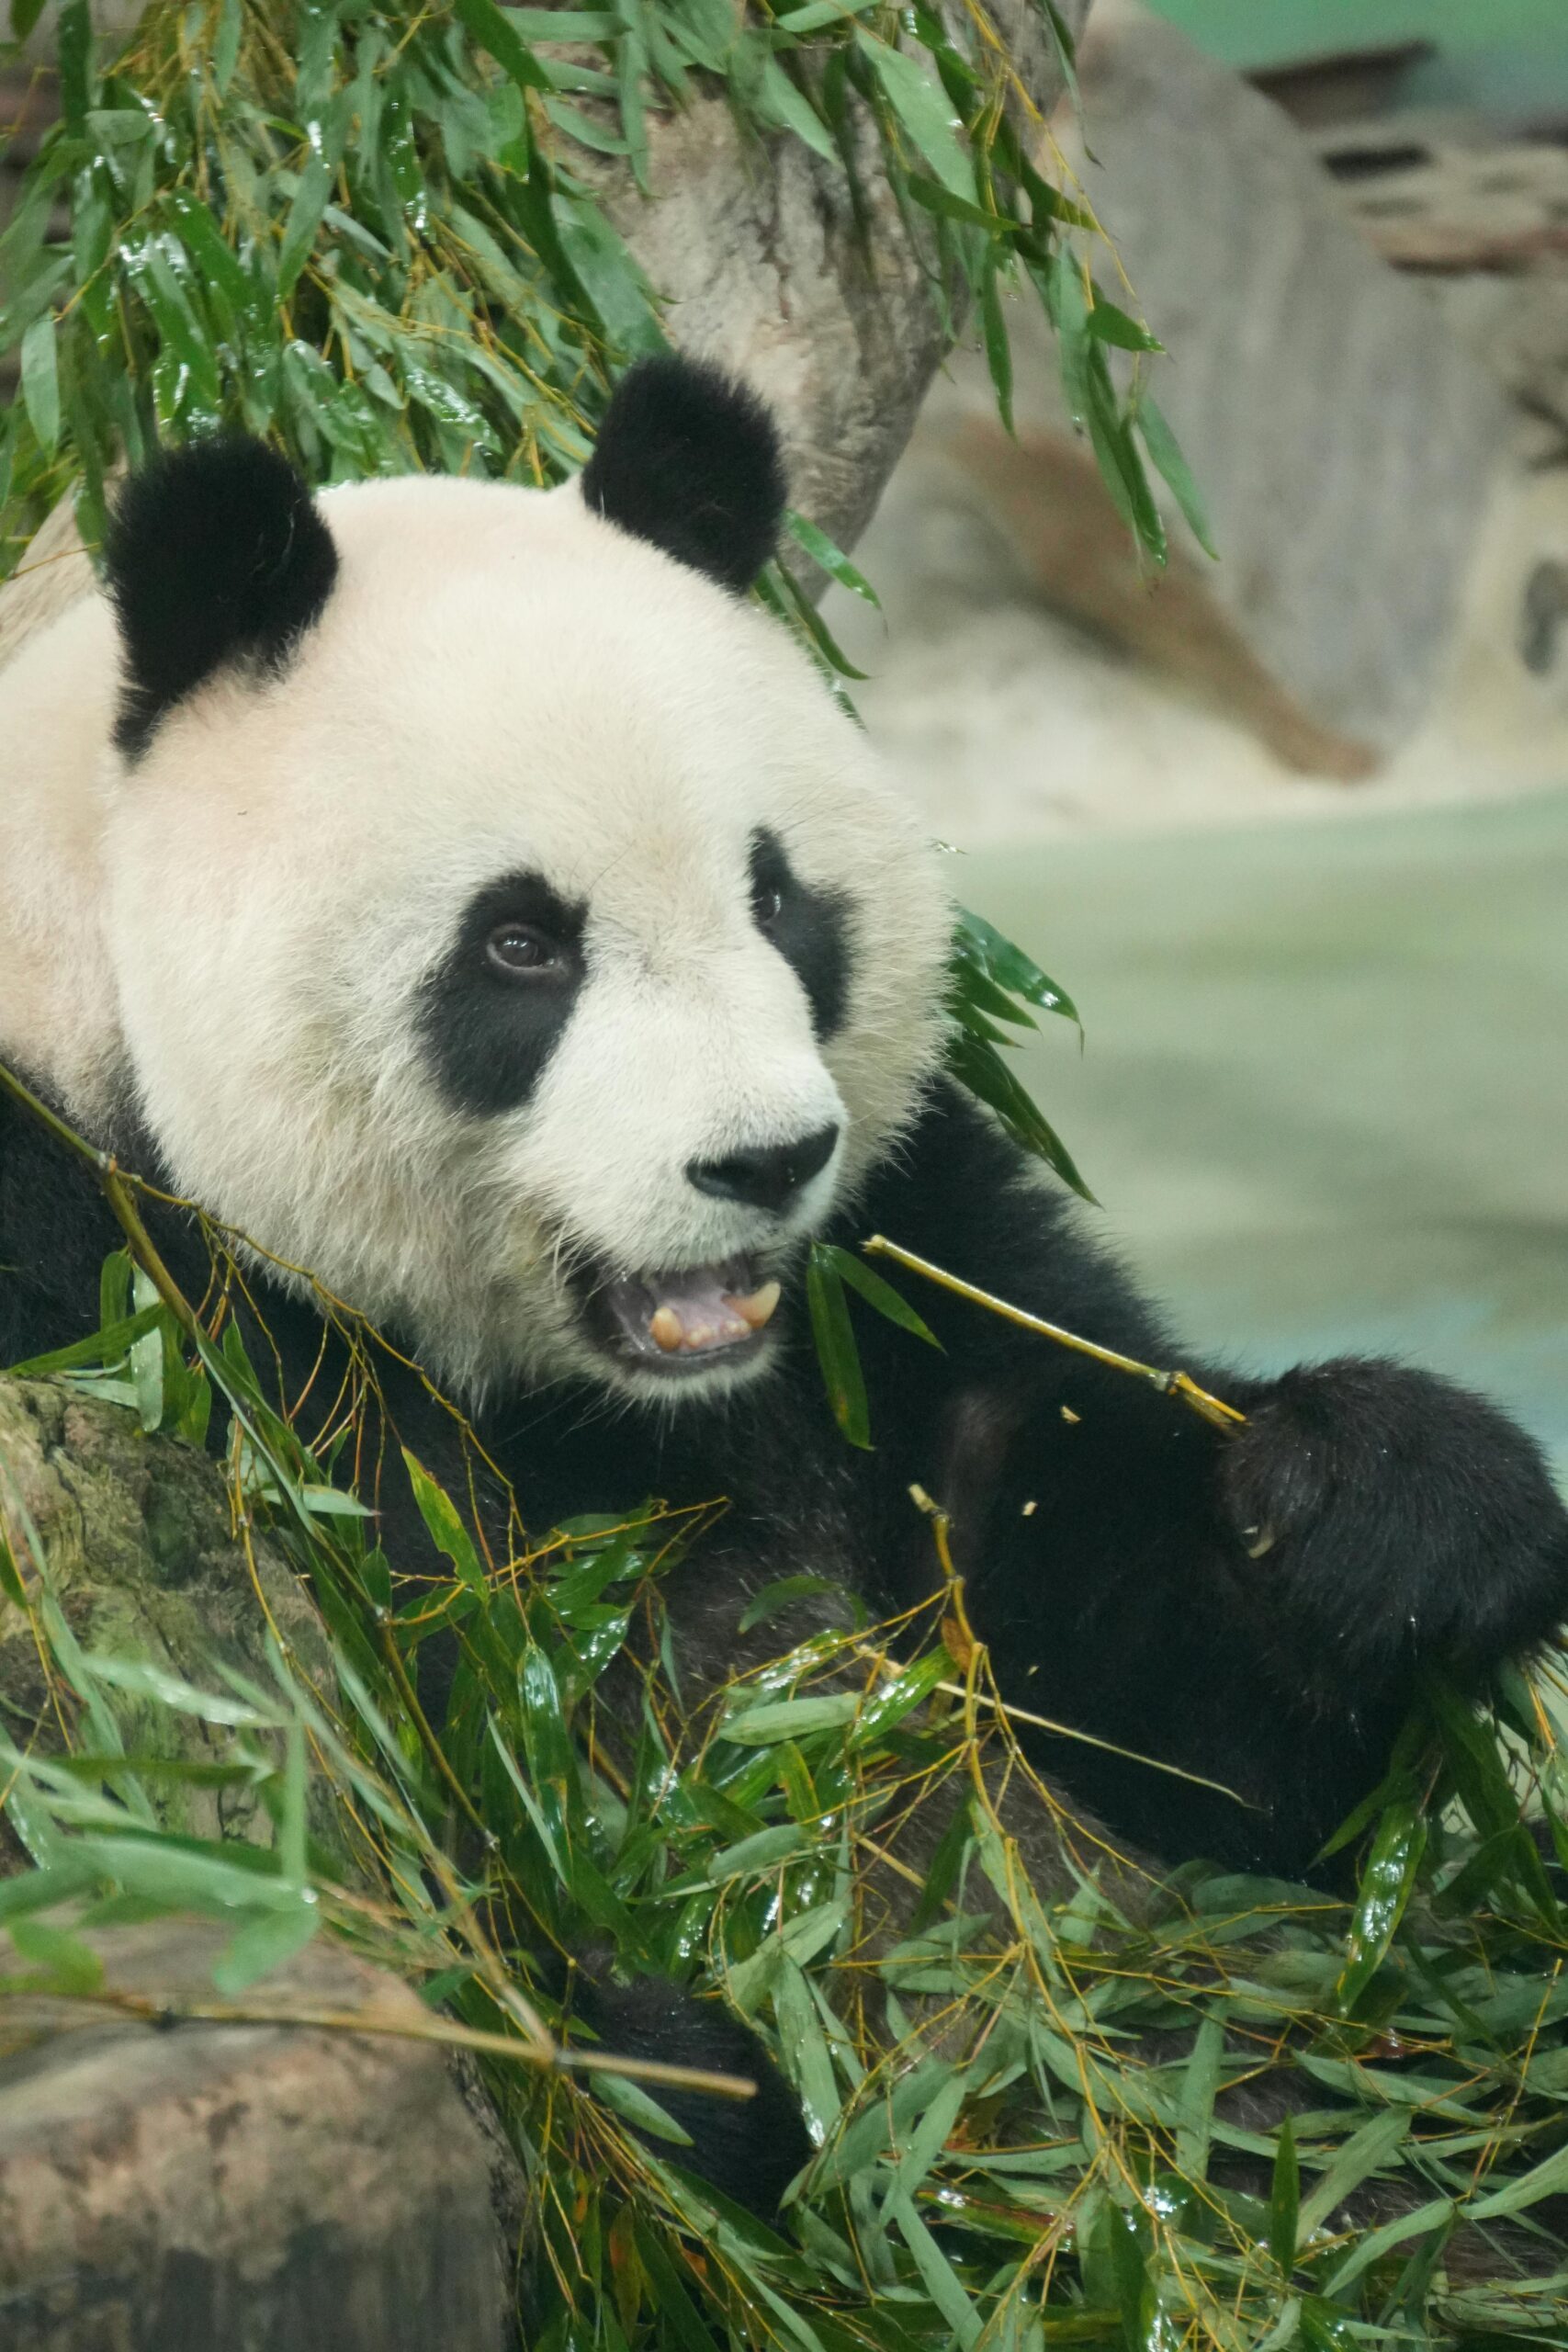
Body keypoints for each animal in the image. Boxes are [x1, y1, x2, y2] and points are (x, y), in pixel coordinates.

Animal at [2, 354, 1567, 2209]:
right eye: (519, 944)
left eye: (775, 896)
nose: (762, 1161)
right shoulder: (109, 1284)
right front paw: (683, 2061)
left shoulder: (895, 1265)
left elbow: (1169, 1720)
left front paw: (1377, 1499)